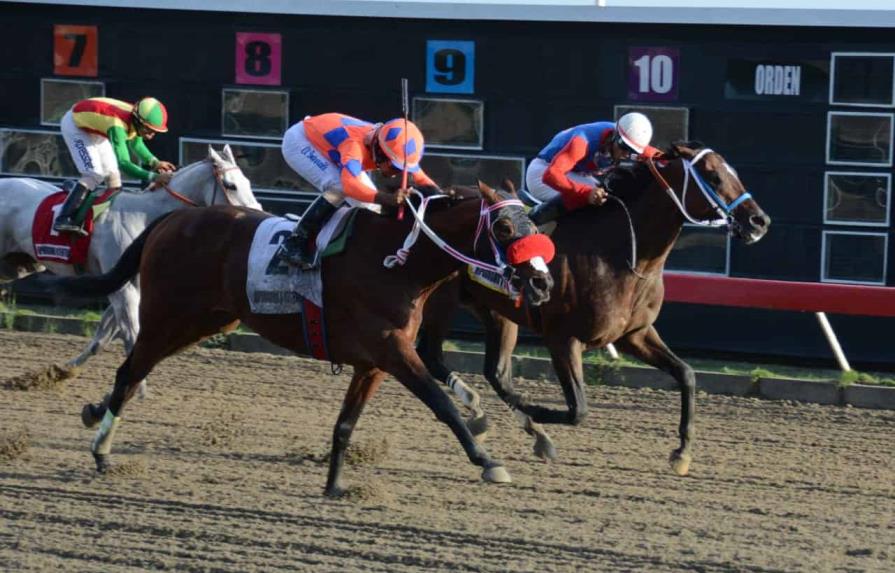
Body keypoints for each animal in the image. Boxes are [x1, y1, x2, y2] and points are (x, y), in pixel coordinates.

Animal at [0, 145, 260, 388]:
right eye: (230, 185)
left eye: (248, 182)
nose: (256, 215)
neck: (143, 217)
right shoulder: (125, 289)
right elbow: (131, 332)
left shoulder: (125, 284)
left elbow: (104, 335)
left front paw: (61, 371)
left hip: (17, 265)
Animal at [38, 184, 556, 496]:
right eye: (504, 228)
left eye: (532, 225)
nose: (541, 283)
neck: (398, 261)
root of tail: (167, 222)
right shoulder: (394, 350)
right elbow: (442, 404)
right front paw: (488, 460)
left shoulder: (373, 362)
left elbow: (345, 424)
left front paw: (335, 485)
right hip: (169, 316)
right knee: (131, 369)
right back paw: (102, 449)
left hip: (208, 322)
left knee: (135, 368)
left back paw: (97, 421)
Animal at [416, 142, 772, 474]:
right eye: (712, 176)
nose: (759, 220)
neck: (623, 255)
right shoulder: (562, 339)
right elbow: (579, 410)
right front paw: (535, 411)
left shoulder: (635, 334)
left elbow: (686, 374)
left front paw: (682, 452)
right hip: (440, 301)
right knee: (431, 355)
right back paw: (486, 411)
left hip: (496, 310)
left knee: (496, 372)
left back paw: (515, 425)